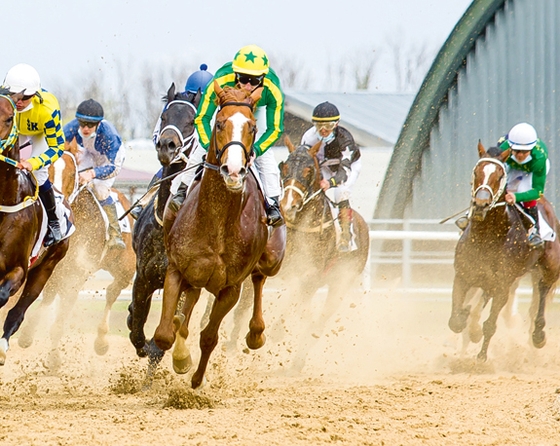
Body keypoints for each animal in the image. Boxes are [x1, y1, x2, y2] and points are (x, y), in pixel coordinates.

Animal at [17, 144, 136, 370]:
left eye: (73, 174)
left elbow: (60, 319)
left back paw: (101, 341)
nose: (56, 199)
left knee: (112, 292)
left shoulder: (77, 274)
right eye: (46, 169)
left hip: (125, 268)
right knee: (50, 297)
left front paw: (53, 358)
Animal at [153, 82, 286, 388]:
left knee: (259, 278)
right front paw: (181, 356)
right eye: (219, 123)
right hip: (195, 276)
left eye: (252, 127)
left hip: (272, 258)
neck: (216, 224)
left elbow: (209, 337)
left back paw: (256, 333)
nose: (234, 170)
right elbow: (166, 333)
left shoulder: (230, 288)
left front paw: (195, 380)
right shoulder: (177, 269)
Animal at [448, 141, 560, 360]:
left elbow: (490, 325)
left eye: (500, 175)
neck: (487, 237)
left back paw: (538, 335)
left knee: (542, 292)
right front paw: (467, 320)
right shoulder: (463, 276)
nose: (481, 204)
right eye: (476, 171)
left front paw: (481, 359)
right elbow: (455, 321)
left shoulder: (502, 285)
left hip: (549, 268)